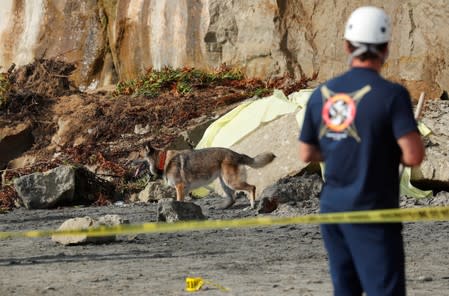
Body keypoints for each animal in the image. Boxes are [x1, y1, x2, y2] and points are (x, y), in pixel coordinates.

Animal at [142, 143, 274, 208]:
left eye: (141, 159)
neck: (163, 160)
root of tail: (236, 154)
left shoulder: (179, 187)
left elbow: (179, 201)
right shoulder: (184, 189)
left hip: (231, 182)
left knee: (252, 187)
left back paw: (252, 205)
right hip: (224, 183)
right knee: (232, 198)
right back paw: (222, 207)